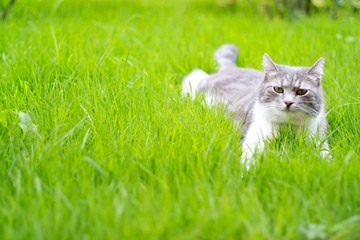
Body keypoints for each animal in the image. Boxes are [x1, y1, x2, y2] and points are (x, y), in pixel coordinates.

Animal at [183, 43, 330, 163]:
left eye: (301, 91)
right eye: (278, 89)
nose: (288, 102)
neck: (287, 128)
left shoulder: (319, 137)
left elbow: (325, 158)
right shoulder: (254, 137)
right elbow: (248, 160)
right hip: (194, 82)